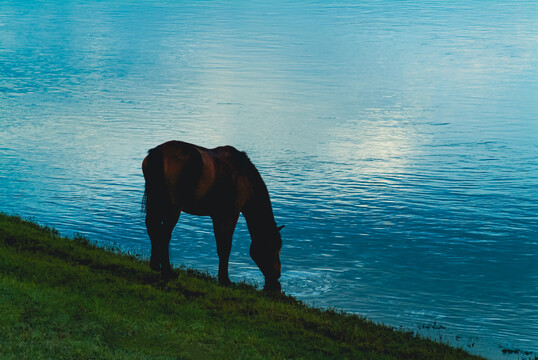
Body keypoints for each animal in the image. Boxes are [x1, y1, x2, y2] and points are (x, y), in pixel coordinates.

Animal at [142, 139, 284, 292]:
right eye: (273, 248)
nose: (277, 277)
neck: (244, 176)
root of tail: (158, 151)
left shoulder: (217, 216)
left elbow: (220, 246)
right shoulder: (231, 214)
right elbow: (226, 246)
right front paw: (225, 280)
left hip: (155, 202)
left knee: (152, 227)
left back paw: (155, 265)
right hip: (173, 208)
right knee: (164, 235)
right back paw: (167, 271)